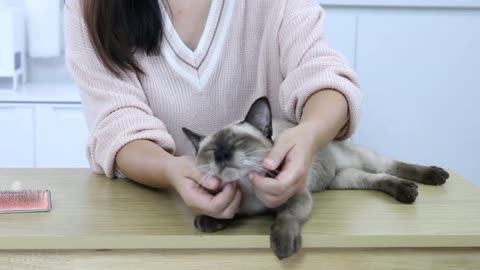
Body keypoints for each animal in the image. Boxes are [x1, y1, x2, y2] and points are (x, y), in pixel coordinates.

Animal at [182, 96, 448, 258]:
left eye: (238, 142)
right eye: (210, 150)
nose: (222, 154)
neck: (249, 188)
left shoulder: (297, 196)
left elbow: (285, 216)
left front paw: (283, 246)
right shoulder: (238, 202)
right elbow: (225, 213)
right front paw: (208, 220)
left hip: (364, 160)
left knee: (392, 166)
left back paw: (431, 177)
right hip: (344, 180)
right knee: (378, 179)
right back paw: (407, 191)